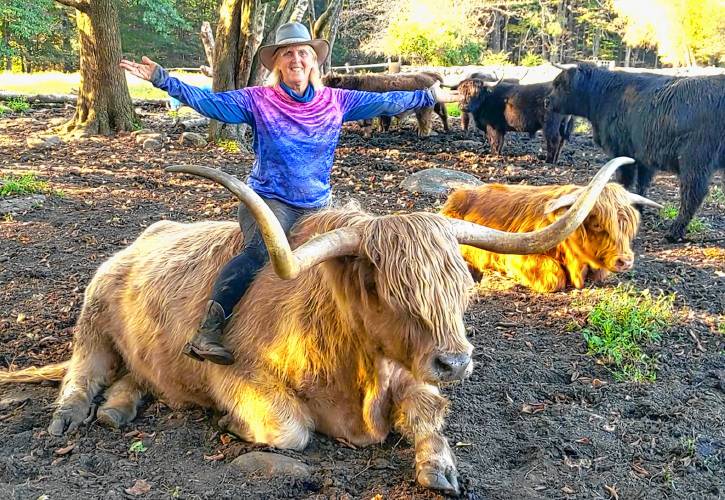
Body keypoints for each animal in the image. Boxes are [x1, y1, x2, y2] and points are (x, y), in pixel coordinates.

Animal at [0, 158, 632, 494]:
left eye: (462, 286)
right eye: (387, 289)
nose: (455, 361)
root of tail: (141, 239)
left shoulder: (412, 374)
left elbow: (429, 416)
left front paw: (439, 468)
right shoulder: (237, 378)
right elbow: (290, 431)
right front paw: (232, 426)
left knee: (139, 375)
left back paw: (120, 406)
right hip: (92, 319)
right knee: (83, 371)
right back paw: (73, 414)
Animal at [544, 65, 720, 242]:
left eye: (559, 84)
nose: (546, 101)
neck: (604, 96)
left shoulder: (621, 151)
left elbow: (626, 181)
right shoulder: (644, 158)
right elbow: (642, 184)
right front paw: (639, 207)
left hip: (694, 160)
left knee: (692, 194)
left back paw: (673, 232)